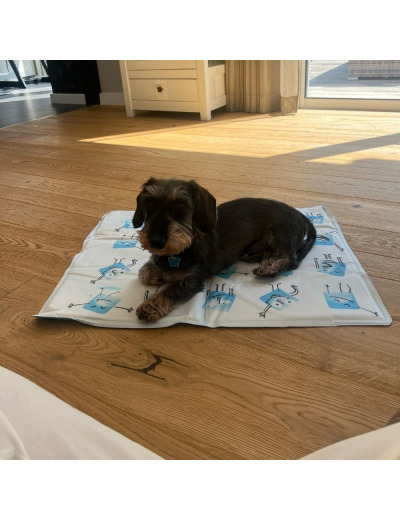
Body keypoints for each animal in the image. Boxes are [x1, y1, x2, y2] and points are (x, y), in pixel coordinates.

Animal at [133, 177, 316, 323]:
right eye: (148, 203)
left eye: (180, 205)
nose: (155, 242)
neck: (183, 248)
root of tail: (300, 214)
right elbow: (143, 273)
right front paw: (158, 274)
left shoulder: (194, 280)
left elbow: (171, 291)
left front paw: (149, 307)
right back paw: (254, 256)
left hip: (279, 233)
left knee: (292, 259)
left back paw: (269, 269)